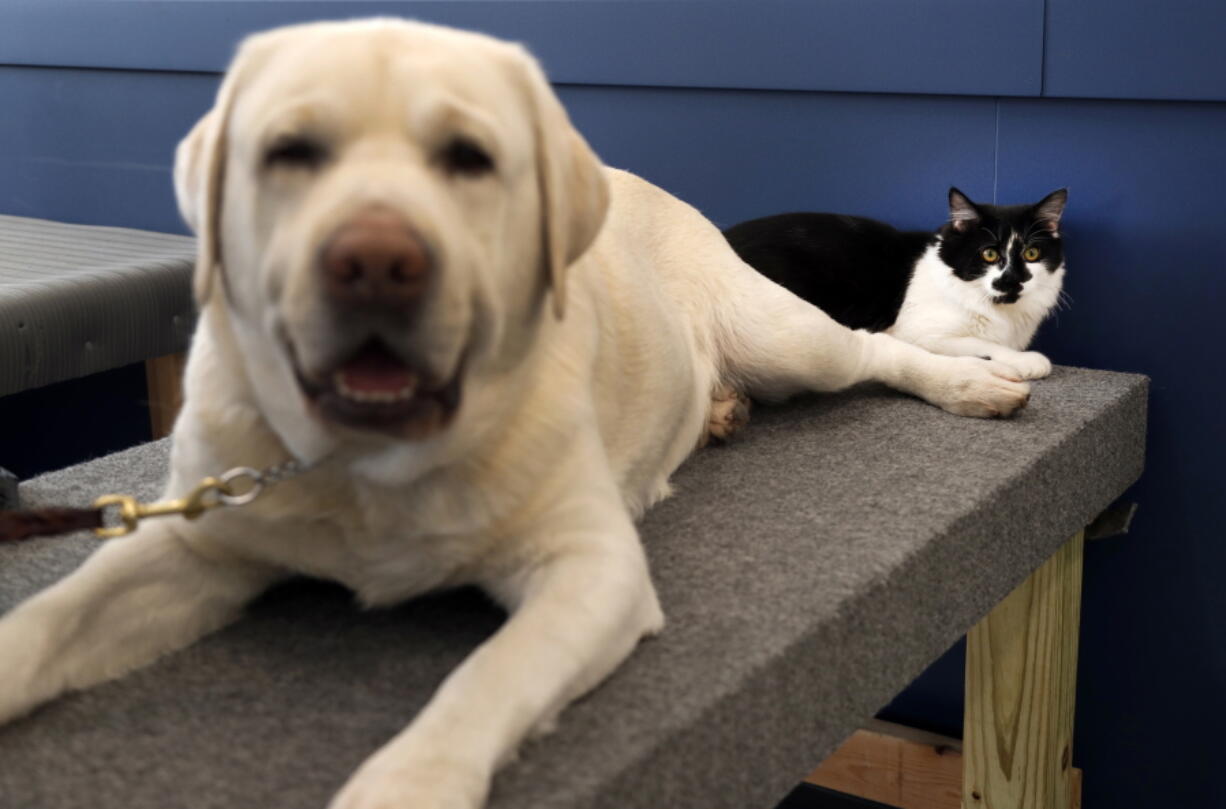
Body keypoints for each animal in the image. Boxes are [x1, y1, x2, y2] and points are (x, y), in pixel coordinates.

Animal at [0, 18, 1034, 809]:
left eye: (471, 159)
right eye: (289, 152)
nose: (375, 259)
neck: (367, 459)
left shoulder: (590, 569)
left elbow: (480, 681)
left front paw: (404, 784)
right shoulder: (194, 540)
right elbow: (51, 615)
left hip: (783, 334)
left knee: (875, 348)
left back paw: (985, 376)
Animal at [720, 187, 1069, 379]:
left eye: (1032, 253)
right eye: (989, 254)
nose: (1012, 280)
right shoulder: (917, 332)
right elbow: (984, 344)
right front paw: (1025, 361)